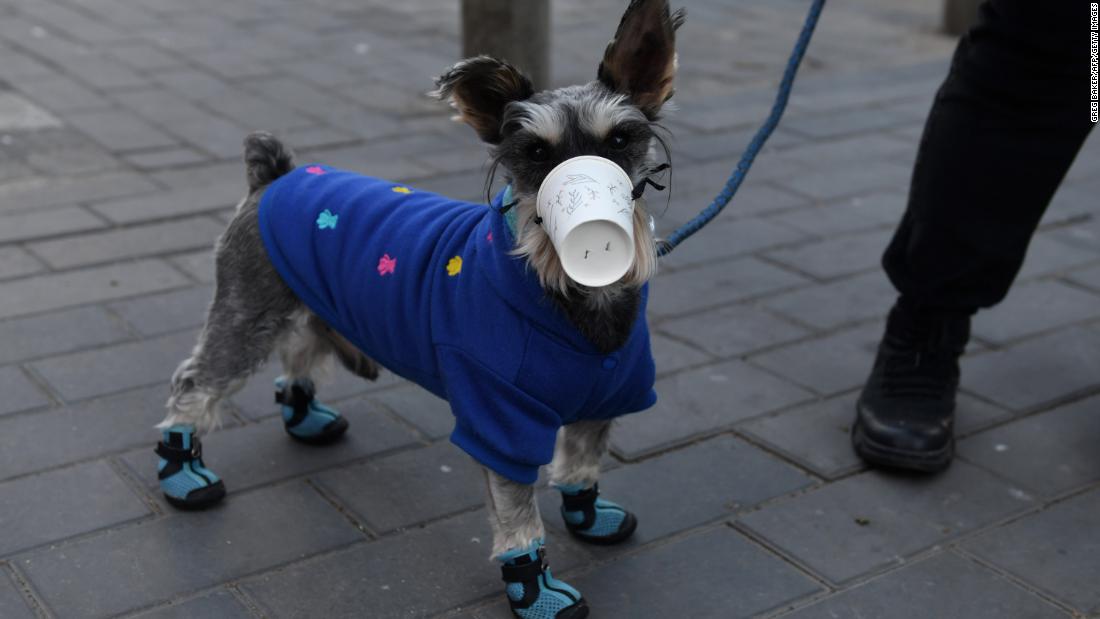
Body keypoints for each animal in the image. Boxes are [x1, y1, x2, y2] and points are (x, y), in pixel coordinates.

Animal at [155, 2, 682, 615]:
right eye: (535, 153)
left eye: (620, 139)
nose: (593, 237)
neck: (577, 310)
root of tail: (275, 176)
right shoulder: (498, 422)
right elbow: (517, 517)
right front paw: (535, 591)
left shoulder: (605, 399)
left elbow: (580, 463)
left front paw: (589, 515)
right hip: (246, 311)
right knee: (196, 384)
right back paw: (182, 473)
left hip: (306, 301)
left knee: (300, 350)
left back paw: (304, 417)